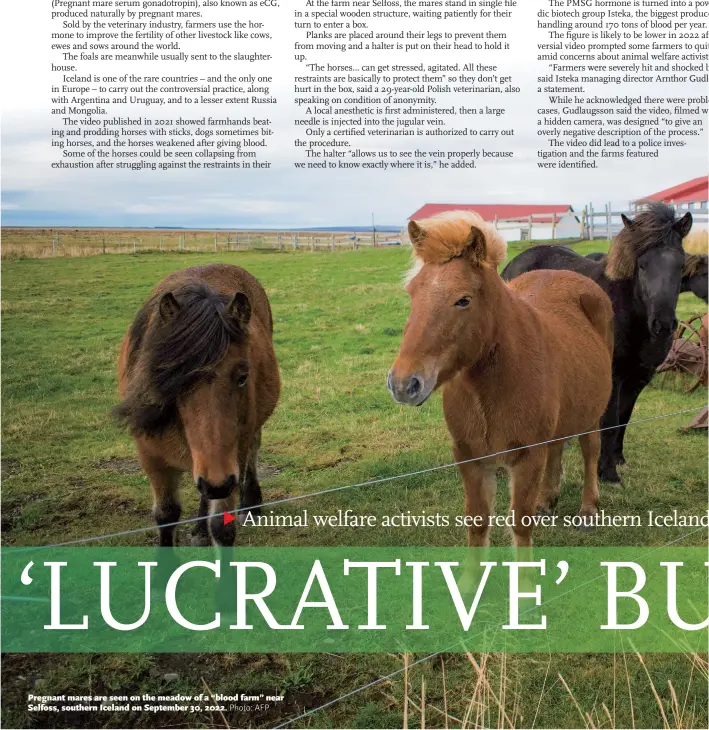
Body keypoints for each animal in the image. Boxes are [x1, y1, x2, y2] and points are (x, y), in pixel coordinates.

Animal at [115, 264, 280, 544]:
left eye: (243, 376)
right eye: (176, 377)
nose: (218, 483)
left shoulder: (231, 457)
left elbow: (222, 527)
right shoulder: (152, 458)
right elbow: (167, 515)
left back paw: (249, 503)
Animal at [384, 208, 612, 544]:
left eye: (463, 300)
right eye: (412, 293)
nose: (403, 384)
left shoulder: (527, 457)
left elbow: (520, 524)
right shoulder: (471, 457)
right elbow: (477, 523)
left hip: (592, 412)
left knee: (590, 449)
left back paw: (588, 509)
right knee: (557, 447)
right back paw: (547, 499)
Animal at [500, 202, 688, 480]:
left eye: (681, 265)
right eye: (641, 265)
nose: (663, 325)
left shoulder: (640, 377)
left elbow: (624, 418)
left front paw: (618, 459)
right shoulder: (614, 375)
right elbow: (610, 422)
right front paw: (607, 472)